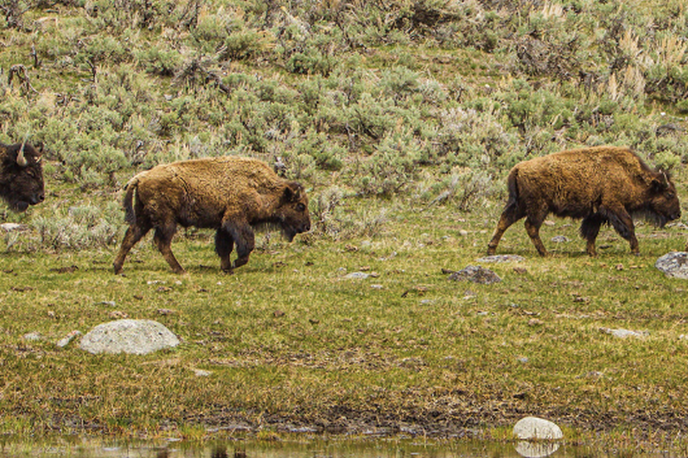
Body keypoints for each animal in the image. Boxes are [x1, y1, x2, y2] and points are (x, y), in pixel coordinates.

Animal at [113, 156, 311, 274]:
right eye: (300, 206)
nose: (307, 226)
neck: (259, 187)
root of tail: (141, 177)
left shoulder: (223, 225)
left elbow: (225, 247)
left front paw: (227, 268)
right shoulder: (235, 219)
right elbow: (247, 243)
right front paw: (236, 263)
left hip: (144, 218)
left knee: (130, 237)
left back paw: (117, 268)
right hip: (167, 220)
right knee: (161, 242)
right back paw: (180, 270)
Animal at [487, 146, 681, 257]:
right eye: (669, 194)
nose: (677, 214)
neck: (628, 174)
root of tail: (518, 168)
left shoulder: (596, 213)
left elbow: (592, 233)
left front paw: (592, 253)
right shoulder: (614, 206)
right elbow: (628, 225)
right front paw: (636, 250)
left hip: (521, 206)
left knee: (504, 221)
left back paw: (491, 250)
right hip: (539, 207)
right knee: (531, 226)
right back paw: (545, 253)